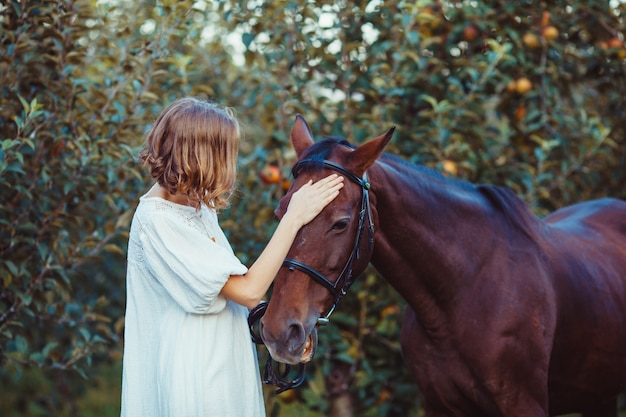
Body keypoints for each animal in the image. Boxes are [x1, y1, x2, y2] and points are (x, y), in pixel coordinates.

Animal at [258, 114, 626, 416]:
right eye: (280, 212)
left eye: (340, 223)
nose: (279, 331)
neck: (461, 295)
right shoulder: (439, 405)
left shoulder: (524, 404)